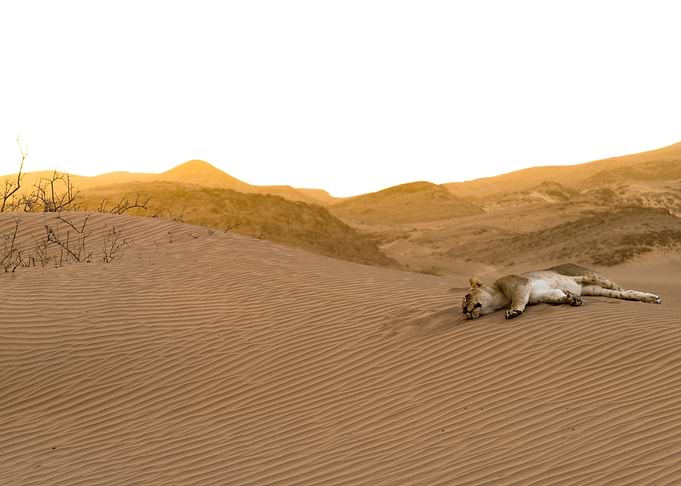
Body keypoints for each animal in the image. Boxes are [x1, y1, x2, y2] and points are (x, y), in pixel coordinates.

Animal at [462, 263, 662, 320]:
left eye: (466, 296)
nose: (464, 311)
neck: (500, 297)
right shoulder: (544, 294)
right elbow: (558, 297)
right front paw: (571, 299)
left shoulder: (520, 284)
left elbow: (518, 300)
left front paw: (513, 311)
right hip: (596, 290)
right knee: (625, 294)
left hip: (594, 278)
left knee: (625, 288)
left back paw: (654, 297)